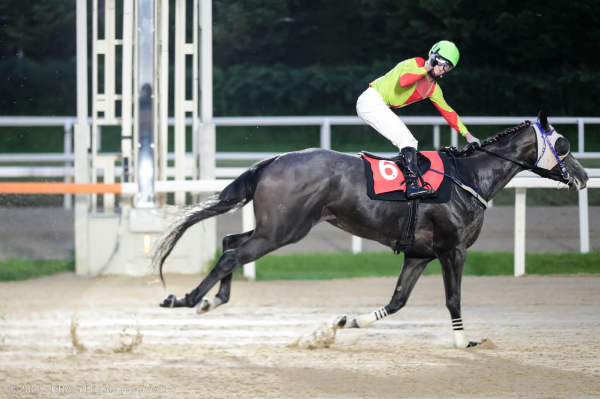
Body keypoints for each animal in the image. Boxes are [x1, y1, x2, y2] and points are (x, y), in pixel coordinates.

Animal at [154, 111, 584, 348]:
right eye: (563, 144)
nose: (583, 176)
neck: (469, 178)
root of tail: (272, 160)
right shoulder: (452, 250)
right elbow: (453, 300)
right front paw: (464, 340)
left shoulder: (419, 254)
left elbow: (397, 301)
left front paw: (349, 322)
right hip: (284, 230)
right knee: (231, 254)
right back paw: (187, 299)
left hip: (274, 228)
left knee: (230, 242)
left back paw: (212, 300)